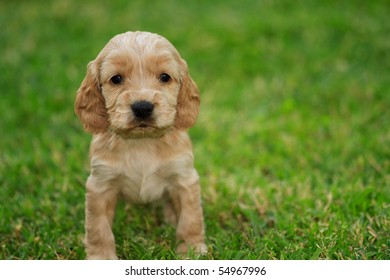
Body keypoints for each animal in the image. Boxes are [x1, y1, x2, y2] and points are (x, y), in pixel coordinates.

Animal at [74, 31, 206, 260]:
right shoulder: (100, 185)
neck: (142, 142)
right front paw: (101, 257)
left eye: (165, 77)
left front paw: (192, 250)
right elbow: (98, 228)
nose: (143, 107)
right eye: (116, 79)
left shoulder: (184, 178)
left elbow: (190, 219)